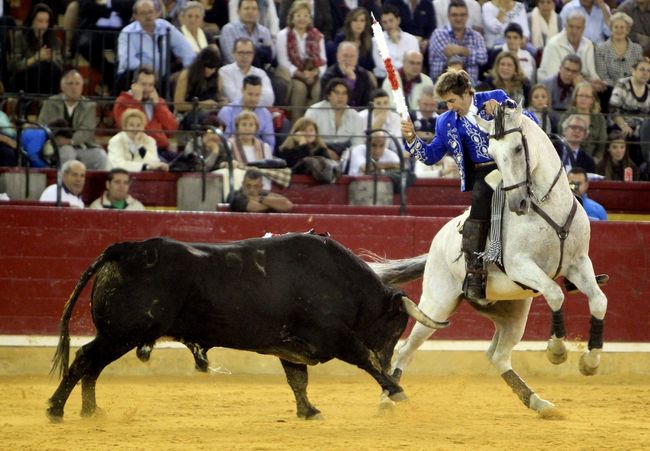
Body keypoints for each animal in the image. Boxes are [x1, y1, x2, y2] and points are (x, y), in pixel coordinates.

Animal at [46, 235, 446, 422]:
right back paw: (56, 409)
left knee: (92, 366)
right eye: (396, 325)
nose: (391, 359)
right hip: (121, 334)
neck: (342, 280)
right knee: (85, 360)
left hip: (118, 336)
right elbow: (364, 359)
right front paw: (396, 390)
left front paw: (309, 411)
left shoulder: (292, 347)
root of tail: (122, 249)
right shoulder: (335, 336)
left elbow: (298, 380)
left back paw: (90, 411)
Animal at [370, 104, 608, 414]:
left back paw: (537, 402)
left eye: (518, 148)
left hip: (512, 313)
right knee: (407, 347)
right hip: (437, 304)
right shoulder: (521, 265)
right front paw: (556, 350)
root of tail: (436, 245)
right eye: (492, 153)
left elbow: (599, 300)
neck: (547, 207)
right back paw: (388, 397)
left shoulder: (579, 263)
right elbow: (556, 293)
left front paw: (590, 362)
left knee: (498, 355)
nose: (518, 204)